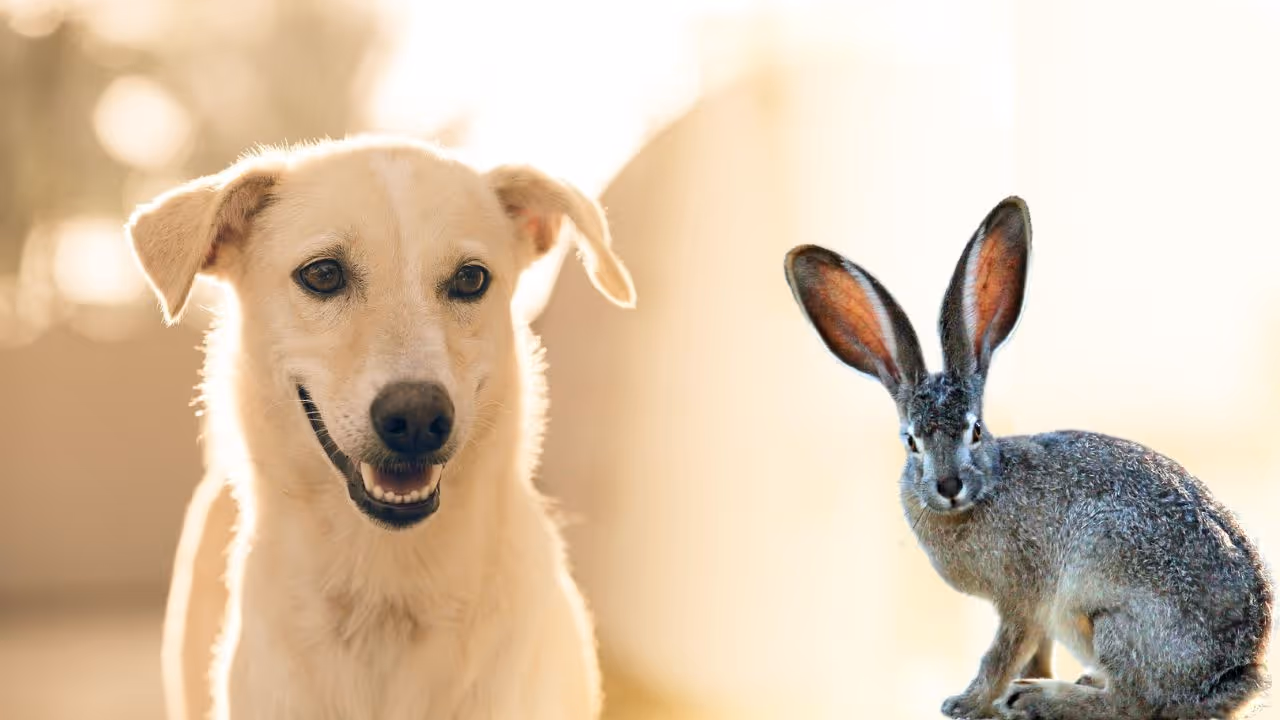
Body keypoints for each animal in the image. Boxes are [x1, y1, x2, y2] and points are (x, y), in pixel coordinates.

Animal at [783, 197, 1273, 719]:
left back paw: (1042, 698)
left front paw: (968, 702)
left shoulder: (1024, 596)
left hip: (1111, 618)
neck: (988, 486)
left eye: (975, 430)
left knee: (1133, 703)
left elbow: (1003, 651)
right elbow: (1032, 651)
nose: (949, 486)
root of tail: (1232, 676)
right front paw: (1003, 690)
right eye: (911, 441)